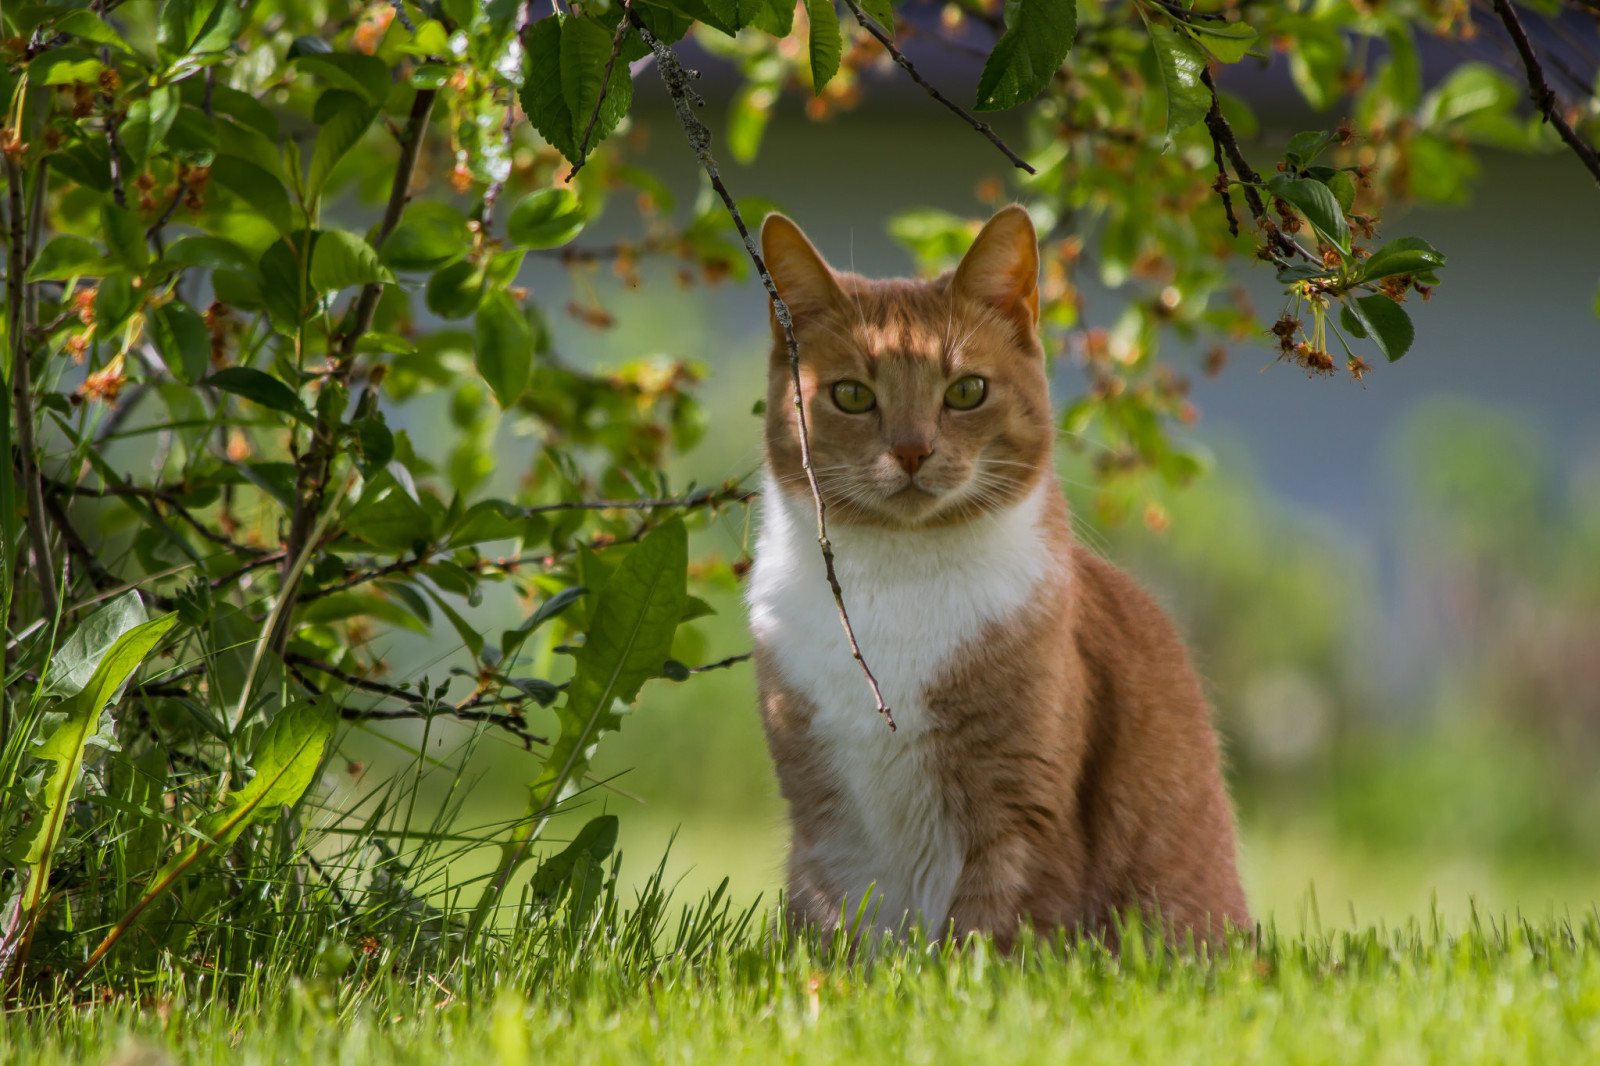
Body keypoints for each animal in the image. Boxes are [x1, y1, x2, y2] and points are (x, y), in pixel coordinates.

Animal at [745, 203, 1248, 941]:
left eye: (966, 390)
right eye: (852, 395)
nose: (912, 450)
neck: (898, 581)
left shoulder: (1022, 816)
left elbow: (989, 935)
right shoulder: (824, 830)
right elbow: (838, 933)